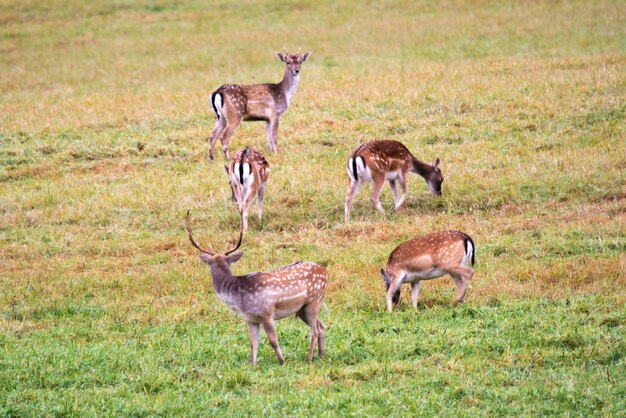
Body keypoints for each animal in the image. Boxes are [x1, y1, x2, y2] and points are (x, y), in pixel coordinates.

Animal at [183, 211, 326, 364]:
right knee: (321, 326)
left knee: (315, 330)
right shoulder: (250, 319)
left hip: (314, 301)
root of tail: (325, 272)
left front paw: (282, 361)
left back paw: (309, 358)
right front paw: (252, 364)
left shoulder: (266, 314)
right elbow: (253, 343)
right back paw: (321, 355)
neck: (238, 298)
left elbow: (273, 341)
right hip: (302, 309)